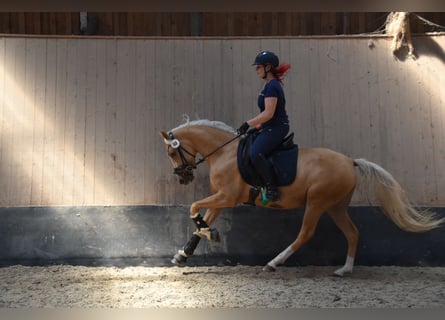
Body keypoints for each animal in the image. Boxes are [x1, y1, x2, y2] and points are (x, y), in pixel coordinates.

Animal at [161, 119, 442, 276]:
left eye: (172, 153)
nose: (183, 177)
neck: (225, 152)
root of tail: (350, 162)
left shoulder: (227, 197)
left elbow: (194, 208)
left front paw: (209, 235)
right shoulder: (220, 198)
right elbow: (200, 222)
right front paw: (185, 253)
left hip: (317, 203)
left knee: (305, 234)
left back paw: (273, 263)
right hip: (336, 206)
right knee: (352, 233)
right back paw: (345, 270)